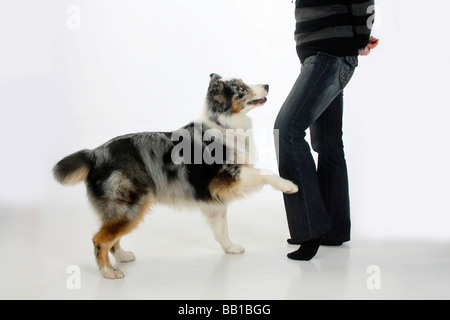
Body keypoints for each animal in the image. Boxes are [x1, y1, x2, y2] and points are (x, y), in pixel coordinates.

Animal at [53, 74, 298, 278]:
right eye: (241, 87)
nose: (267, 85)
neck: (222, 124)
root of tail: (94, 154)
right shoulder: (227, 175)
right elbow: (266, 172)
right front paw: (288, 185)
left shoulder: (214, 197)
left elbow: (221, 229)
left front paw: (230, 248)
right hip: (131, 203)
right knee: (100, 239)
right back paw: (108, 272)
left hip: (123, 207)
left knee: (111, 236)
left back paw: (122, 256)